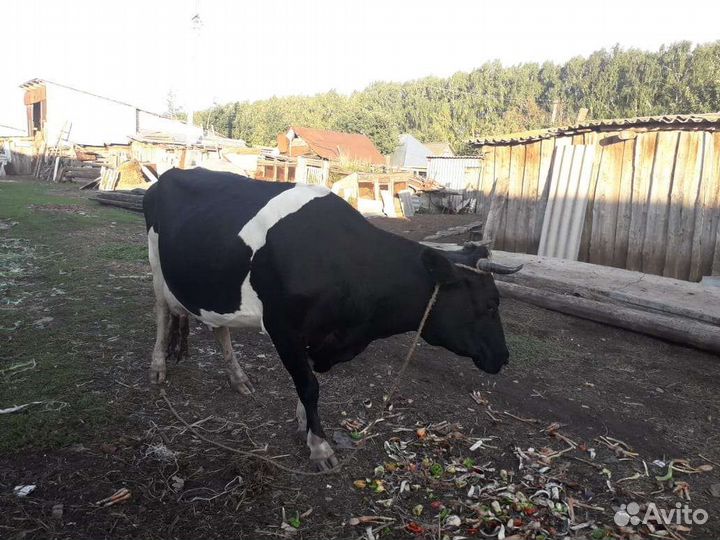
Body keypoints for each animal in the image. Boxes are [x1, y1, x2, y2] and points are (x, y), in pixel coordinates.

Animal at [143, 168, 521, 470]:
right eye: (491, 304)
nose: (503, 358)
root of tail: (172, 172)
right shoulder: (284, 329)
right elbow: (309, 385)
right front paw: (320, 445)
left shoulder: (322, 337)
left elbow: (306, 385)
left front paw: (305, 425)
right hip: (157, 263)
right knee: (162, 313)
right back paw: (158, 366)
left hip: (212, 282)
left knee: (218, 325)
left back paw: (238, 378)